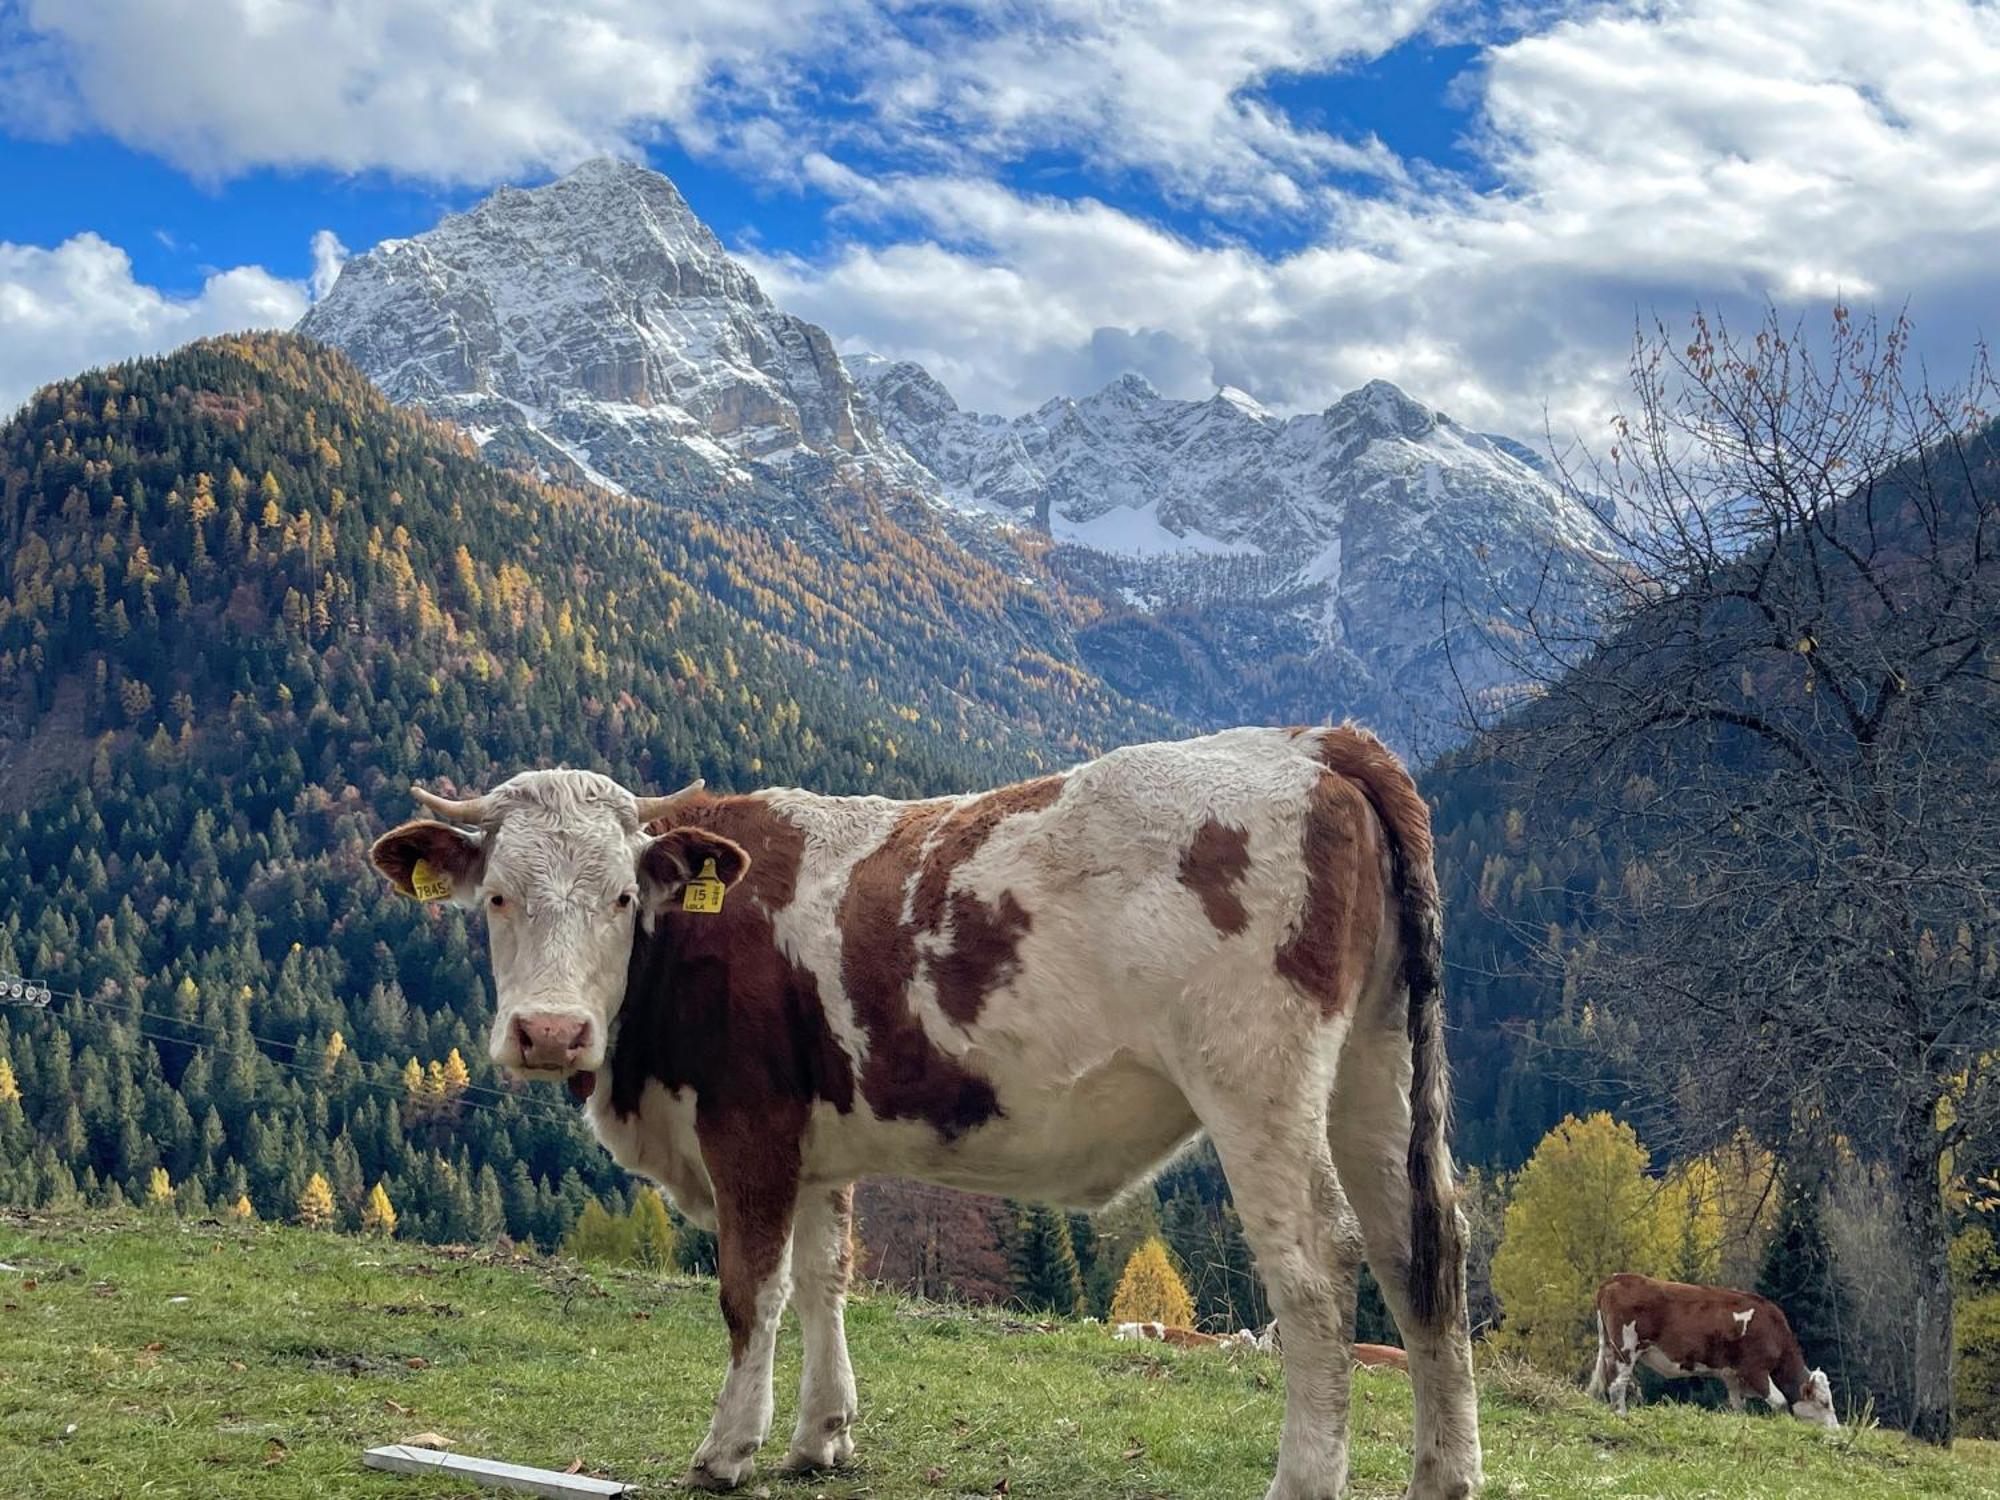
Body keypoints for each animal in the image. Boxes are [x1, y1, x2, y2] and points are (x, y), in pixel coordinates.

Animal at [372, 724, 1488, 1496]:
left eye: (618, 899)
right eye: (499, 897)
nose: (550, 1032)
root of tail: (1312, 742)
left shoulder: (747, 1126)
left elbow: (750, 1292)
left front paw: (727, 1450)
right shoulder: (813, 1141)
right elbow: (824, 1277)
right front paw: (820, 1436)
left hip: (1256, 1078)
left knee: (1317, 1264)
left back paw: (1302, 1477)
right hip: (1375, 1068)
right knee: (1420, 1251)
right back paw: (1444, 1476)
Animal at [1584, 1280, 1832, 1432]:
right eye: (1824, 1402)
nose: (1836, 1430)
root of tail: (1617, 1279)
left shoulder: (1732, 1376)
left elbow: (1738, 1406)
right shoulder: (1754, 1370)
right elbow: (1780, 1402)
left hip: (1610, 1350)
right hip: (1626, 1350)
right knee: (1617, 1385)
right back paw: (1622, 1416)